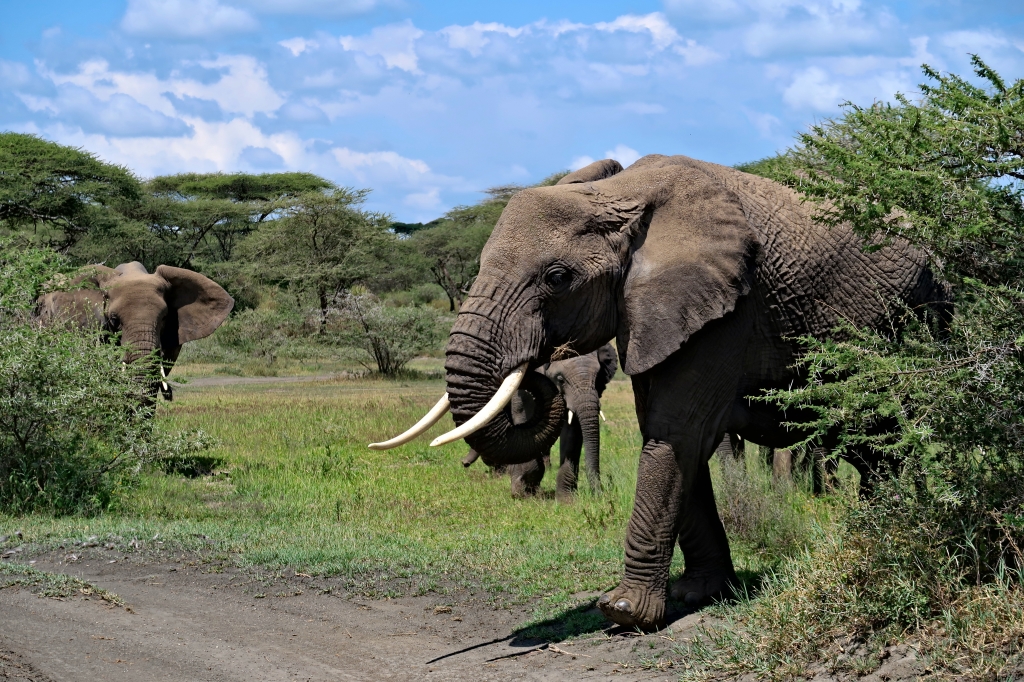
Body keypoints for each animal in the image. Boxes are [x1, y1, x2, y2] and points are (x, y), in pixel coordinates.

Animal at [463, 343, 618, 500]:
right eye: (560, 379)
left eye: (598, 378)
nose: (599, 494)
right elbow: (523, 415)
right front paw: (522, 490)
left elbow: (572, 429)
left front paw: (566, 500)